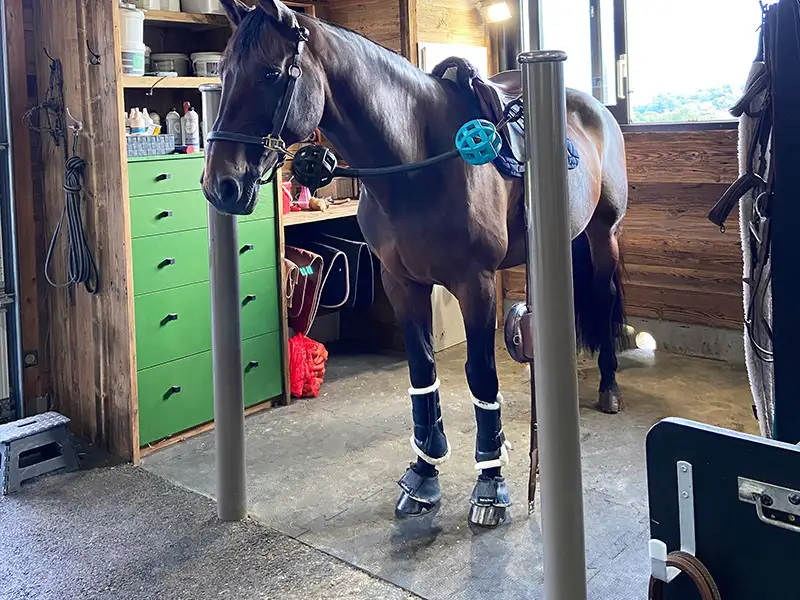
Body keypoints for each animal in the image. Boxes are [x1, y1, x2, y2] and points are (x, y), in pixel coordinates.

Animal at [202, 0, 629, 528]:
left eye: (270, 73)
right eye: (223, 72)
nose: (220, 185)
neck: (417, 159)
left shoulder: (475, 284)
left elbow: (480, 374)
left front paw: (491, 484)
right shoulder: (400, 282)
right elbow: (423, 371)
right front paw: (425, 473)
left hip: (603, 233)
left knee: (605, 302)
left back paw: (608, 385)